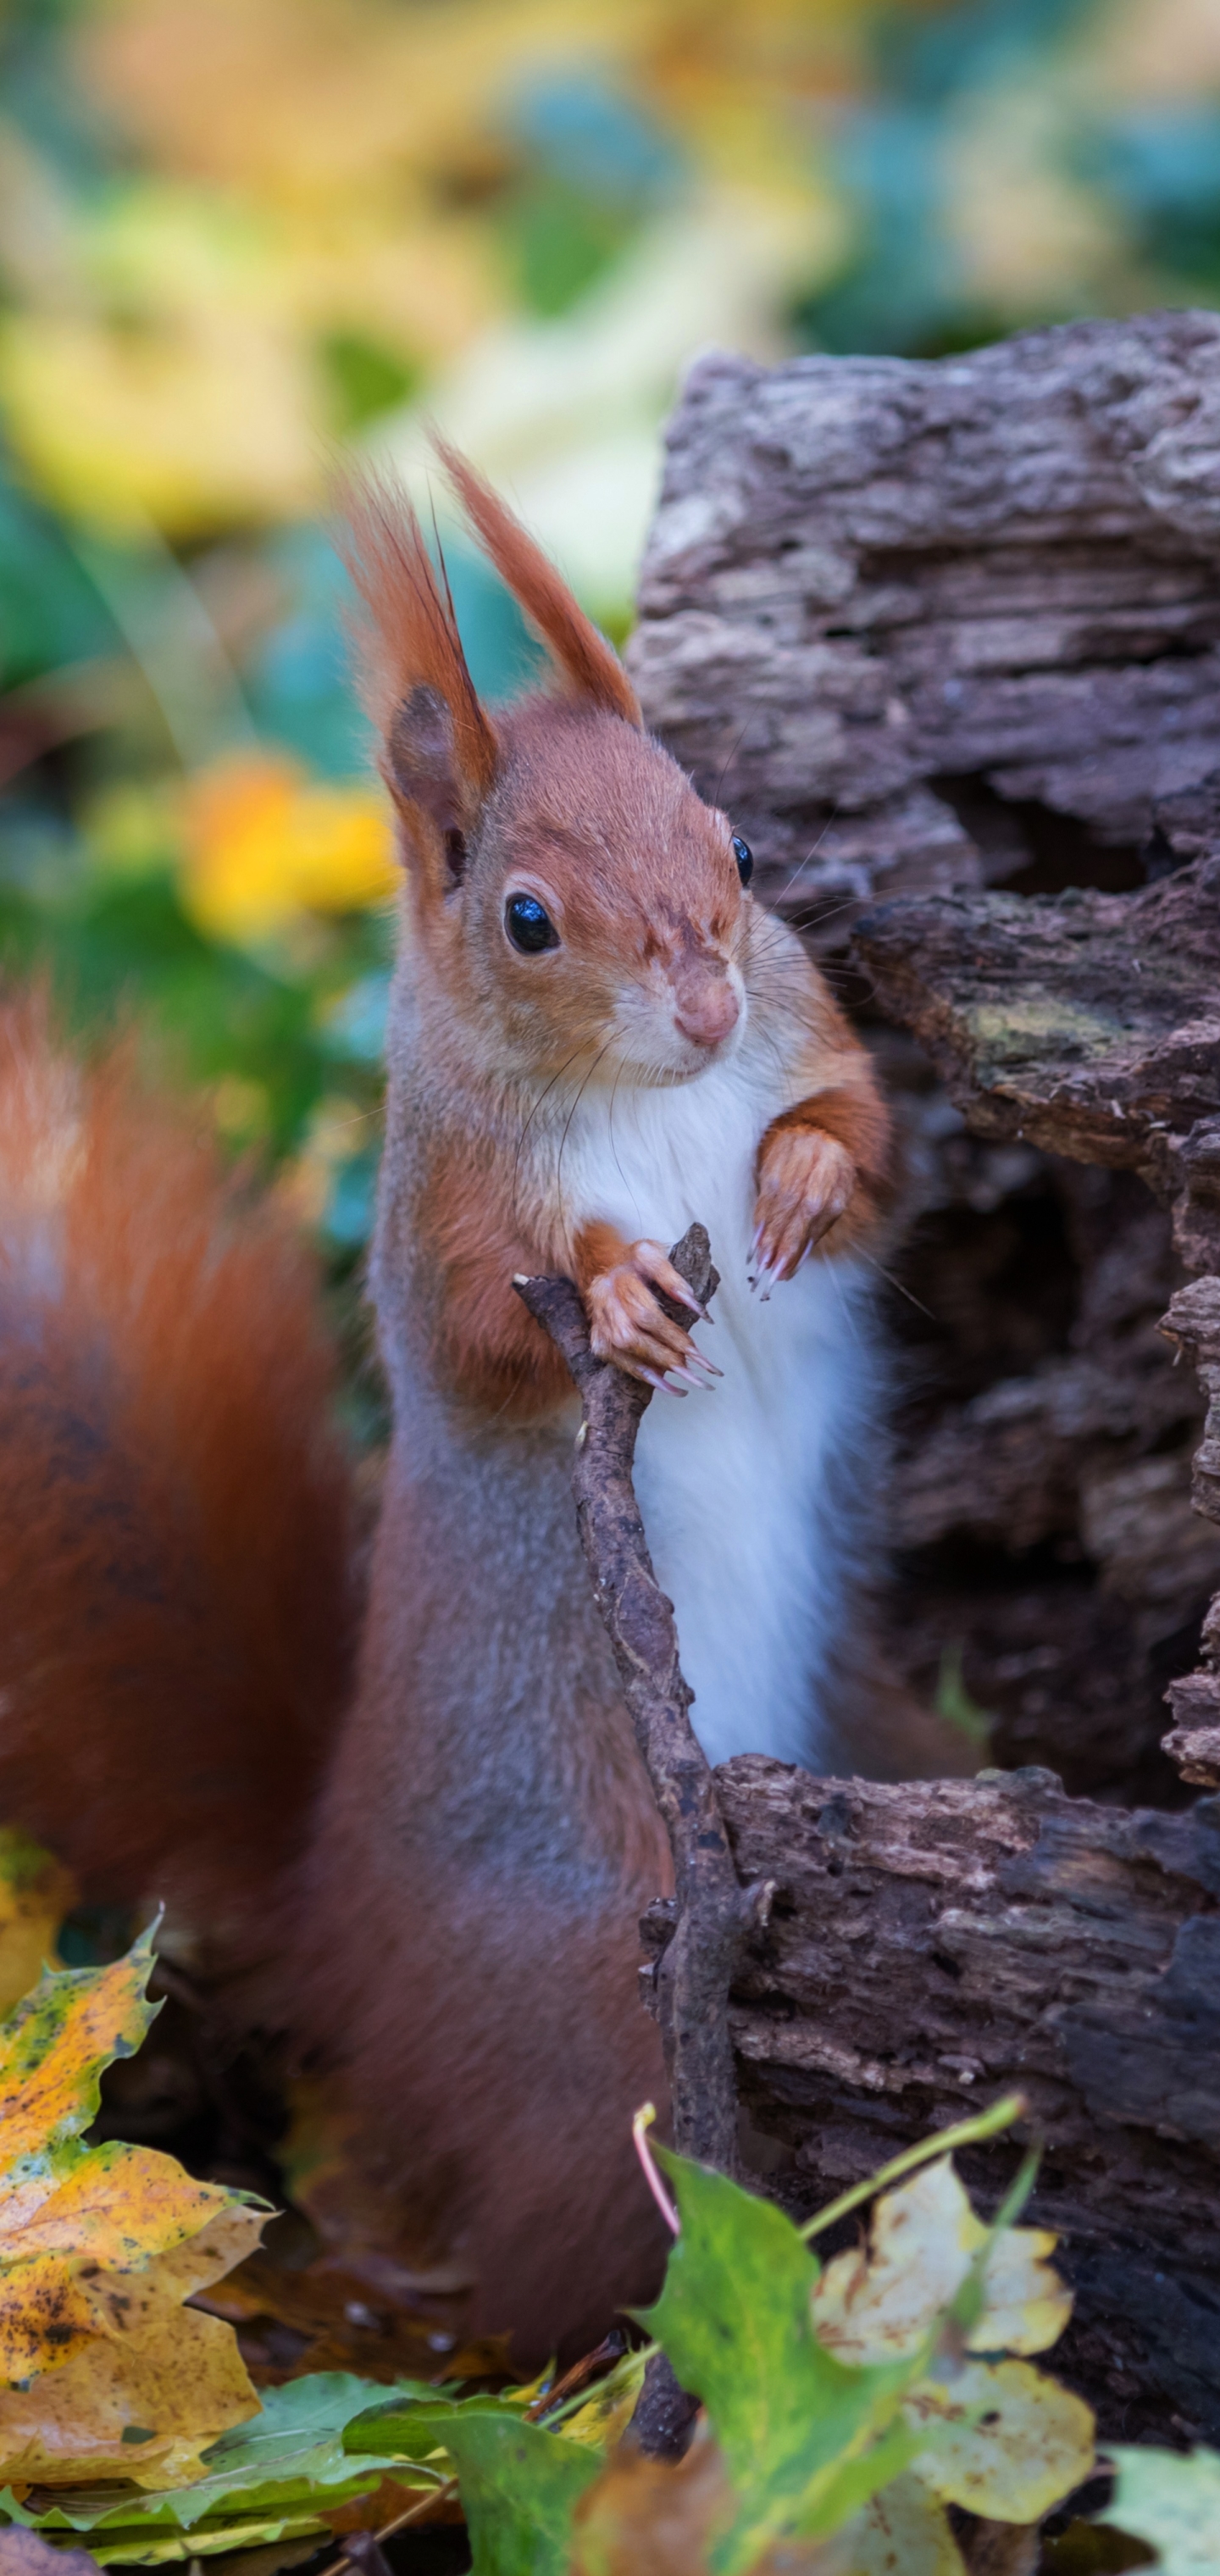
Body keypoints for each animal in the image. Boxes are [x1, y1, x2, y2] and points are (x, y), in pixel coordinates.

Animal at [0, 437, 896, 2359]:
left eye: (740, 842)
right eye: (527, 920)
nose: (705, 1000)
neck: (651, 1097)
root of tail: (341, 1913)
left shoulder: (805, 1032)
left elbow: (866, 1138)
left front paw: (795, 1180)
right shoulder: (444, 1216)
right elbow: (485, 1331)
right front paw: (623, 1296)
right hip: (604, 1989)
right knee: (584, 2226)